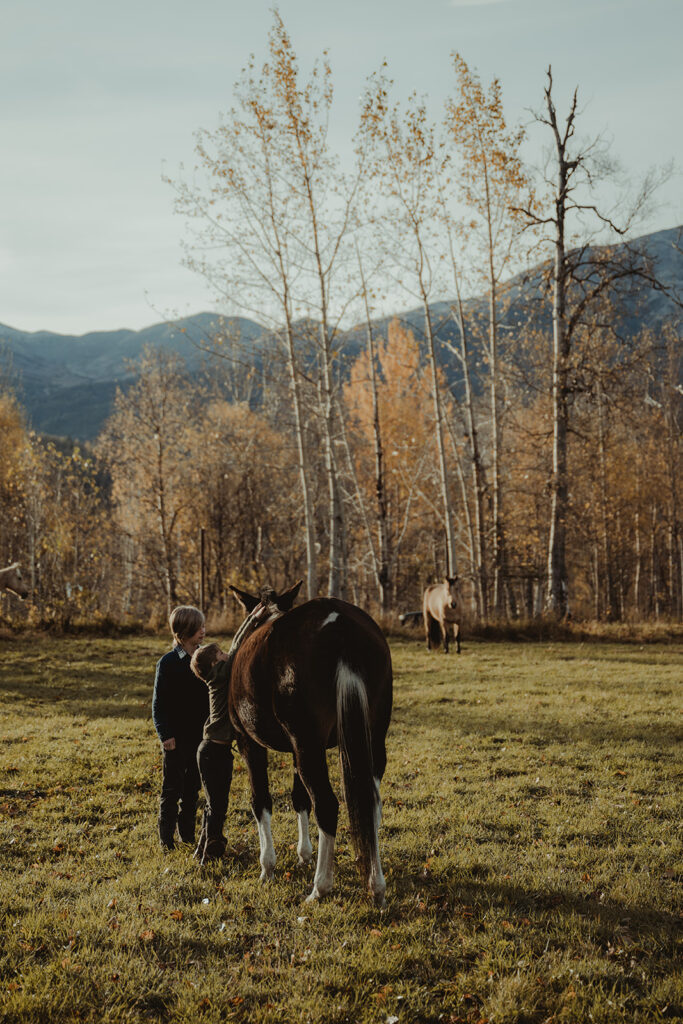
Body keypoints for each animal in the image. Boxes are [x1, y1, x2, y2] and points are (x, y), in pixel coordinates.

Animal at [227, 581, 393, 909]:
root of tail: (339, 623)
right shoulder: (297, 749)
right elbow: (299, 797)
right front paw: (304, 853)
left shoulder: (249, 743)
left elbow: (260, 800)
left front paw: (268, 867)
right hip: (369, 740)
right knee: (370, 804)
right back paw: (375, 882)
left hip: (307, 744)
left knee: (327, 805)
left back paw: (321, 887)